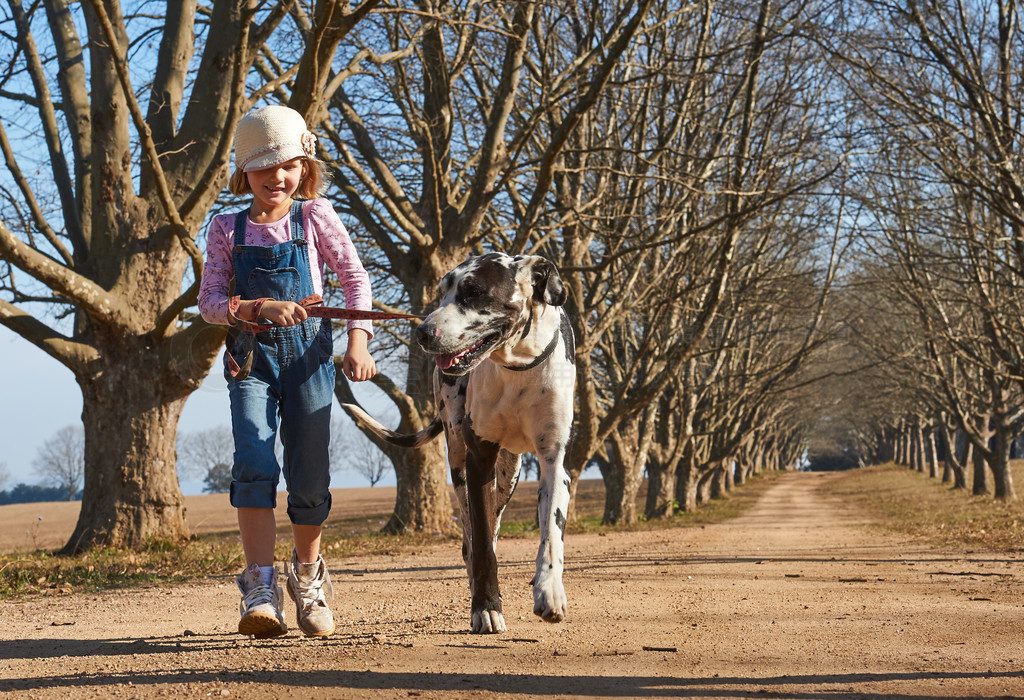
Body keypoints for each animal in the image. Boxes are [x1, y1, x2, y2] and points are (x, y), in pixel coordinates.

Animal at [348, 252, 577, 634]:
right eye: (442, 293)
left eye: (474, 292)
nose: (422, 332)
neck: (517, 368)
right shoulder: (478, 461)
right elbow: (482, 546)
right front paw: (486, 607)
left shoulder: (553, 464)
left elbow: (550, 537)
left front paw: (549, 592)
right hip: (459, 461)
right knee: (472, 540)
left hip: (509, 475)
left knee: (494, 524)